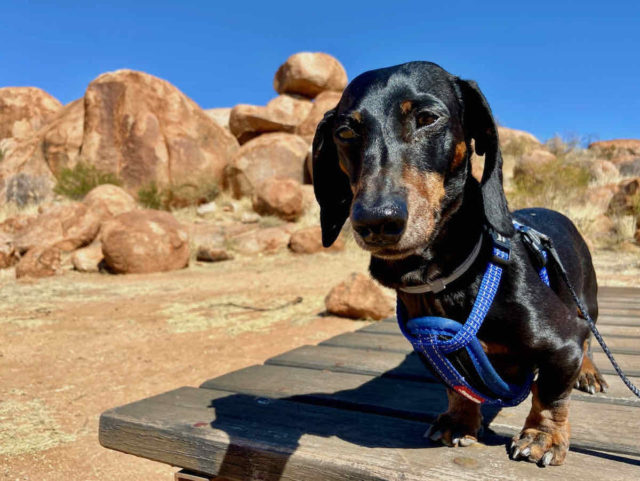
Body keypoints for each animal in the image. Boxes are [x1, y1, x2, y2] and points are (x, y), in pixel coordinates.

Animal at [312, 61, 608, 464]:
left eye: (426, 118)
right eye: (344, 132)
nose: (376, 222)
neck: (445, 278)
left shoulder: (563, 342)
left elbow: (549, 392)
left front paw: (543, 436)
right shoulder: (436, 350)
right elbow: (458, 386)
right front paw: (459, 421)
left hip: (586, 303)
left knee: (589, 336)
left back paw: (588, 372)